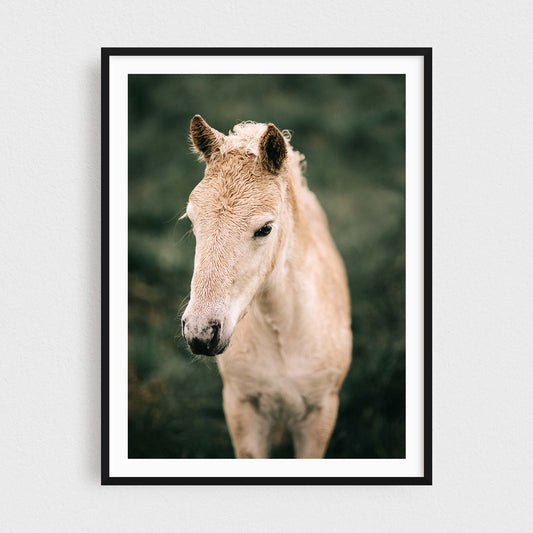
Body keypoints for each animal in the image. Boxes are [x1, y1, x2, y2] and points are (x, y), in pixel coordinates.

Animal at [181, 116, 352, 458]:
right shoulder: (242, 407)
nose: (201, 332)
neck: (285, 332)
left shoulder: (320, 413)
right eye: (192, 220)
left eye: (265, 229)